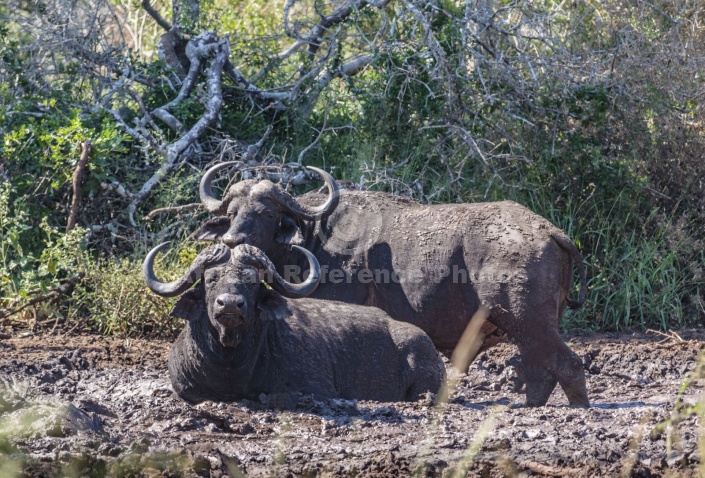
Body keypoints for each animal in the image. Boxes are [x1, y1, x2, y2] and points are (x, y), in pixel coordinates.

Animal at [191, 162, 588, 408]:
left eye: (266, 213)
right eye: (233, 213)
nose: (231, 240)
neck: (315, 237)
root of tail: (548, 230)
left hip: (526, 320)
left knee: (567, 364)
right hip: (531, 328)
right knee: (541, 370)